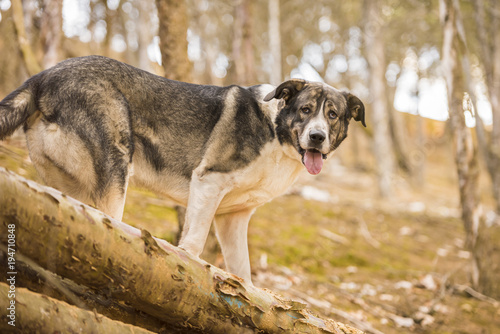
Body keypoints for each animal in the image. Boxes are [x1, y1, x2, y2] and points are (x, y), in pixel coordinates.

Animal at [0, 56, 364, 284]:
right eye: (305, 110)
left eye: (332, 115)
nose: (317, 137)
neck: (276, 131)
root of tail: (42, 77)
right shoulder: (208, 182)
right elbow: (194, 243)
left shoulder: (232, 218)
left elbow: (243, 272)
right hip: (116, 167)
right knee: (109, 230)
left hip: (67, 187)